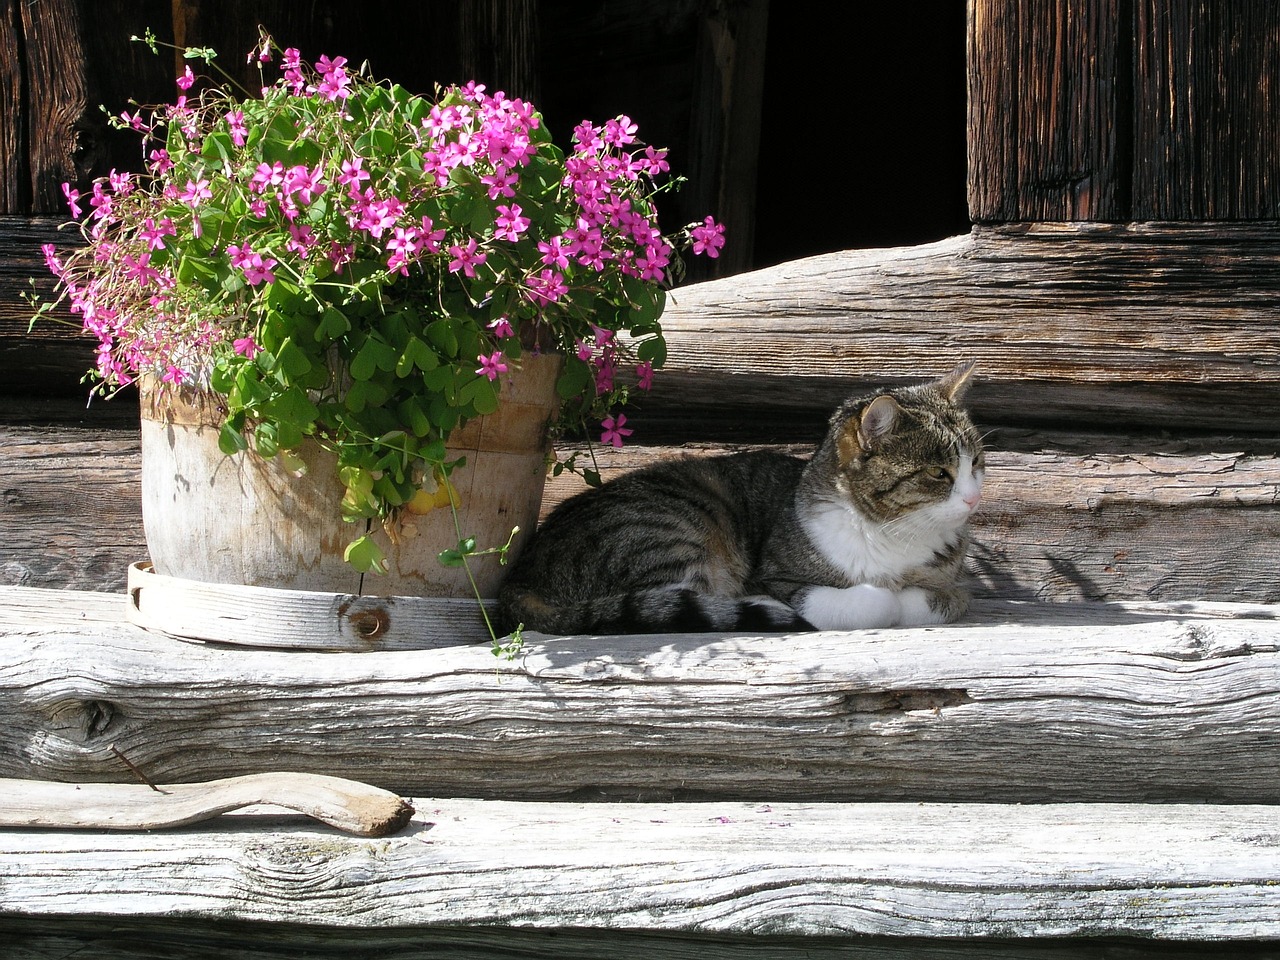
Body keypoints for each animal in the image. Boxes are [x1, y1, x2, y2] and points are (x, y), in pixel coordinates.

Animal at [494, 363, 983, 634]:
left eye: (976, 462)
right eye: (939, 473)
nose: (975, 499)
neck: (891, 533)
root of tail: (520, 577)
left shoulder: (953, 583)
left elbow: (946, 599)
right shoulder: (780, 576)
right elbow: (874, 601)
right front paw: (884, 598)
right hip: (673, 529)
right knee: (670, 600)